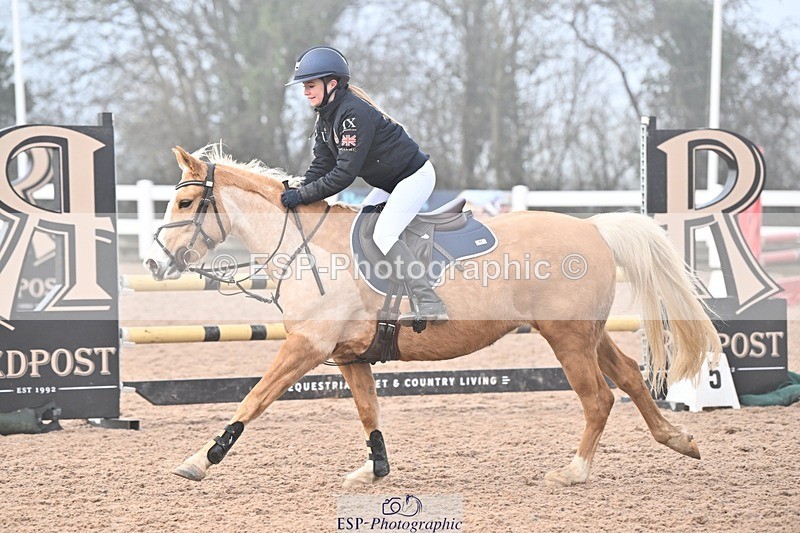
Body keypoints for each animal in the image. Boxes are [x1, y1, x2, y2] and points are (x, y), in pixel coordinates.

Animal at [143, 144, 722, 487]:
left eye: (187, 205)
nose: (153, 262)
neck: (307, 246)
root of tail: (593, 227)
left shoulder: (306, 347)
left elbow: (254, 398)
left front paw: (202, 459)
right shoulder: (349, 357)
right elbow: (369, 413)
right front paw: (374, 471)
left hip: (569, 340)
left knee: (599, 397)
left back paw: (574, 472)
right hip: (585, 335)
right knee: (630, 377)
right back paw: (679, 440)